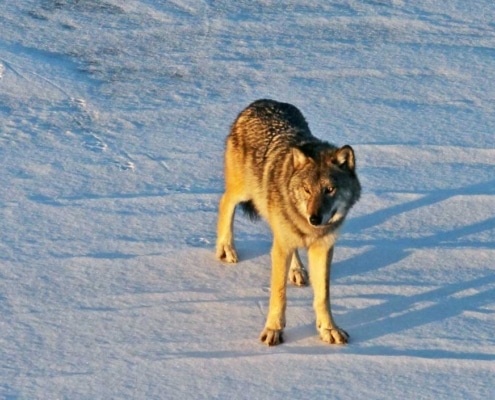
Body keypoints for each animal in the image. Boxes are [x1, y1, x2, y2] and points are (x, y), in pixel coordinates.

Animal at [216, 98, 360, 346]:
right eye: (307, 190)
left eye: (329, 189)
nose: (315, 218)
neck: (309, 229)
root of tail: (261, 101)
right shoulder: (282, 248)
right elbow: (279, 294)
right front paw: (273, 330)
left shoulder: (323, 248)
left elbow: (323, 296)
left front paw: (328, 329)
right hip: (244, 192)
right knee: (225, 202)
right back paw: (226, 248)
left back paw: (298, 270)